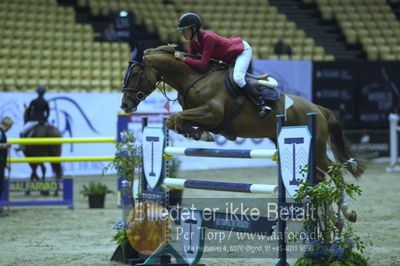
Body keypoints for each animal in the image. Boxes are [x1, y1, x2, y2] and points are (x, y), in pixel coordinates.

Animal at [120, 44, 364, 221]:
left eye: (136, 74)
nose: (125, 105)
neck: (193, 79)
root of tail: (318, 109)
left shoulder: (212, 113)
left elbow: (176, 118)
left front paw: (201, 134)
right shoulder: (201, 115)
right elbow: (174, 121)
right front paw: (199, 134)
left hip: (317, 147)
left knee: (335, 172)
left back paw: (347, 212)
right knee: (322, 177)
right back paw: (330, 216)